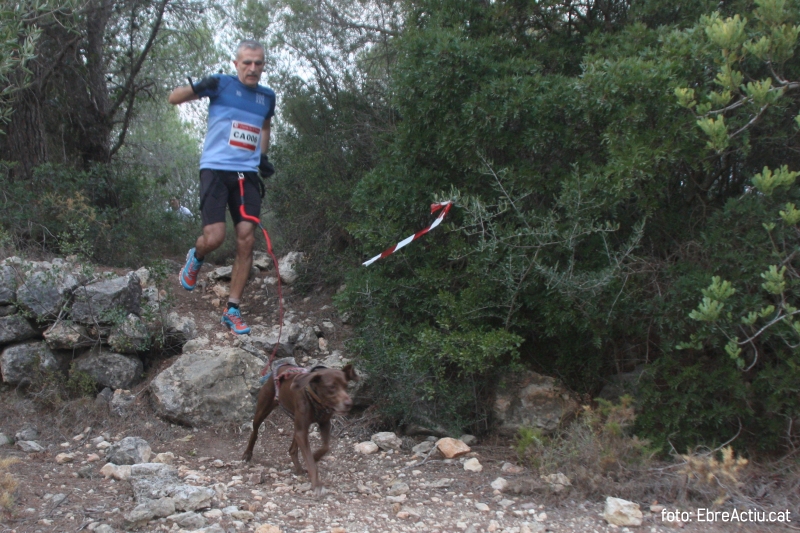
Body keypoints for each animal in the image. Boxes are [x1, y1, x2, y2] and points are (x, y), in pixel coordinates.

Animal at [242, 364, 358, 492]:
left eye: (346, 386)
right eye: (331, 387)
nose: (349, 404)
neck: (316, 400)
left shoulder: (324, 424)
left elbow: (325, 447)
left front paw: (315, 456)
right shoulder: (302, 430)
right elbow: (310, 461)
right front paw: (316, 483)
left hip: (297, 422)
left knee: (292, 448)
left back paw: (299, 468)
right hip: (263, 410)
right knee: (255, 431)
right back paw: (247, 454)